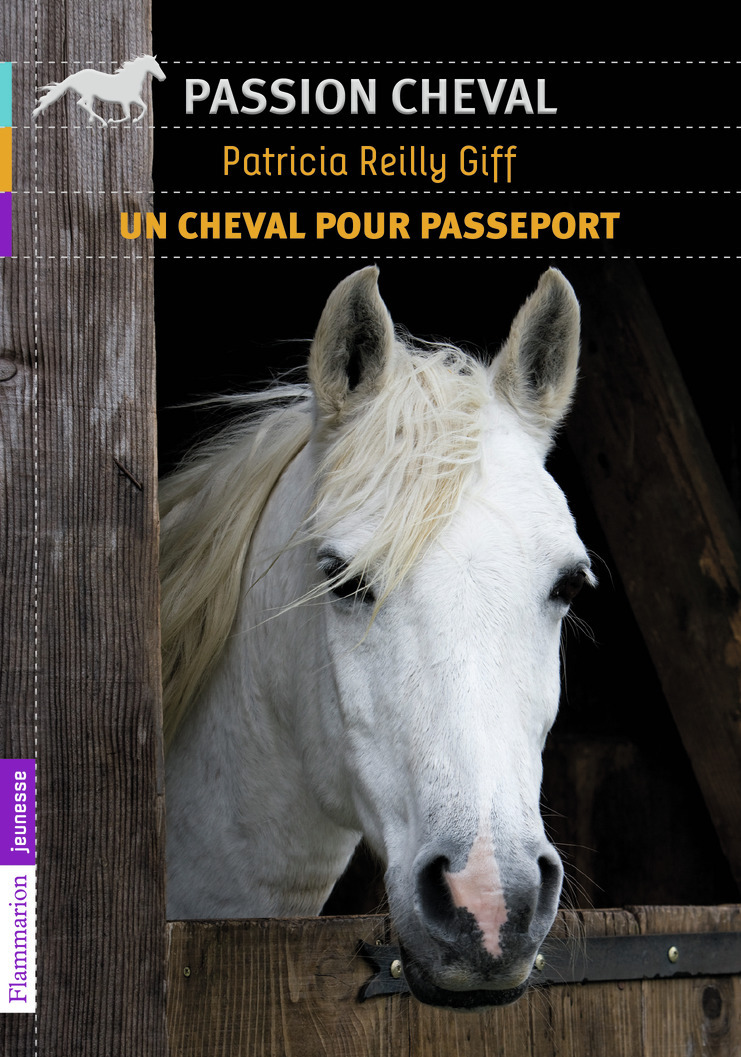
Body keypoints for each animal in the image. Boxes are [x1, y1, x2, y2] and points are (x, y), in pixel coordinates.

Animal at [32, 55, 165, 126]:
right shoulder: (125, 101)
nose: (163, 78)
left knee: (86, 106)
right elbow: (127, 116)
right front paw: (111, 120)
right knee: (80, 103)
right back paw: (103, 122)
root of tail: (74, 76)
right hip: (88, 94)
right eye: (155, 65)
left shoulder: (134, 99)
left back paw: (93, 120)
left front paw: (136, 119)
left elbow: (144, 107)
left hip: (90, 96)